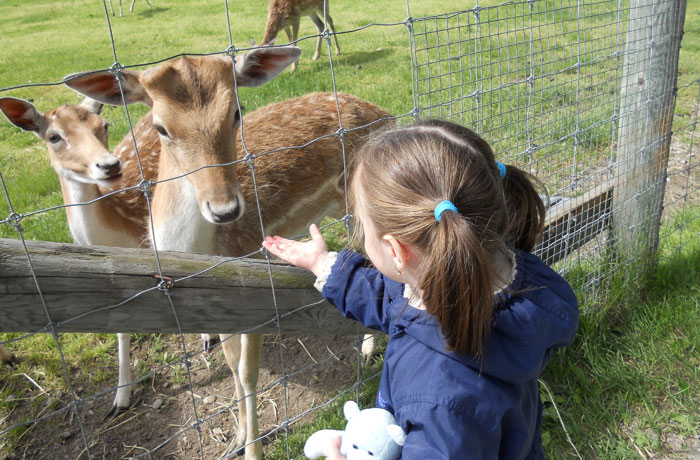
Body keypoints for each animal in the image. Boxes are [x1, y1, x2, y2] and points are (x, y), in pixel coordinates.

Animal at [64, 47, 394, 460]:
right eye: (160, 127)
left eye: (237, 111)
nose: (225, 209)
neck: (200, 249)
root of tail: (386, 113)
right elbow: (231, 363)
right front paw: (236, 437)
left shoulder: (254, 282)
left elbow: (248, 373)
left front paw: (251, 448)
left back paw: (367, 349)